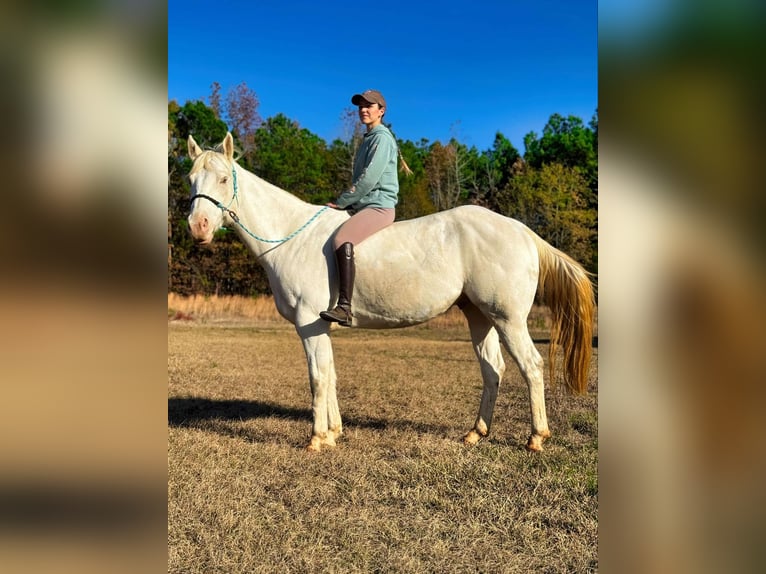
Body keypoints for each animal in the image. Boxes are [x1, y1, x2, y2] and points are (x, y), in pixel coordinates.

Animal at [184, 134, 592, 454]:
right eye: (190, 179)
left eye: (224, 178)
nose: (198, 226)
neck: (292, 237)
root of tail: (521, 230)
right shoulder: (320, 327)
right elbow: (330, 374)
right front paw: (333, 433)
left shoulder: (308, 324)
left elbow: (317, 377)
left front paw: (316, 439)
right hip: (480, 316)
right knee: (493, 370)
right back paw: (476, 434)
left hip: (508, 319)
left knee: (531, 366)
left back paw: (536, 437)